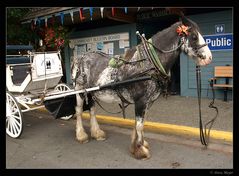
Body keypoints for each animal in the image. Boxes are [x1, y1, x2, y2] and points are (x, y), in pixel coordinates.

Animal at [70, 15, 212, 160]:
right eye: (194, 36)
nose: (209, 57)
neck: (149, 63)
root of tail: (80, 57)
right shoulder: (140, 101)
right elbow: (139, 125)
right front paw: (140, 150)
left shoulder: (148, 102)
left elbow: (141, 124)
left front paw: (139, 145)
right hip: (79, 90)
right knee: (79, 110)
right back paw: (81, 135)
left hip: (91, 92)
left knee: (92, 110)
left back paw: (97, 133)